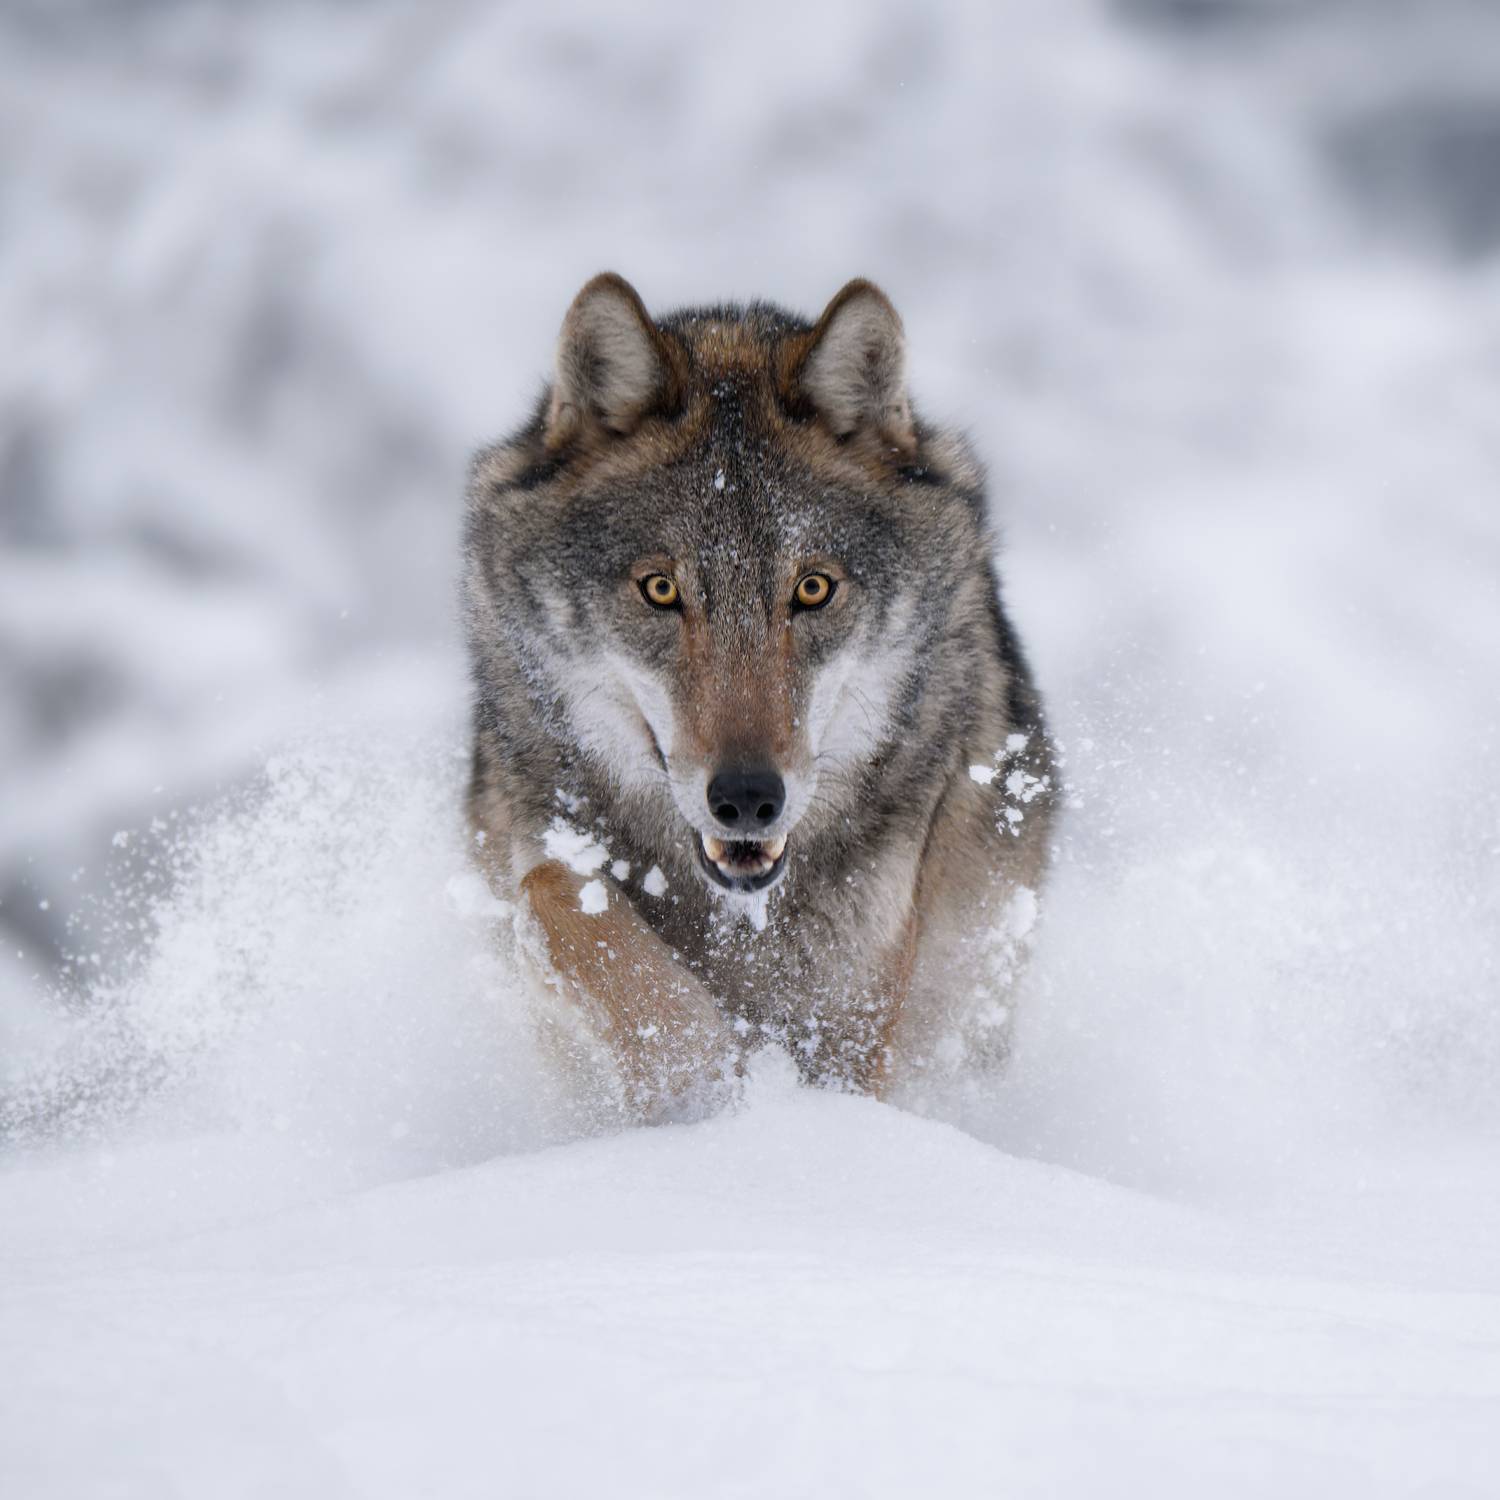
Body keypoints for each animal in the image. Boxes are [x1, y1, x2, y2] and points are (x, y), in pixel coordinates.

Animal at [464, 274, 1055, 1117]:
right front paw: (702, 1077)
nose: (747, 798)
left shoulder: (856, 1018)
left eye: (812, 589)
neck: (742, 918)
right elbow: (550, 894)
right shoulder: (538, 855)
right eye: (661, 589)